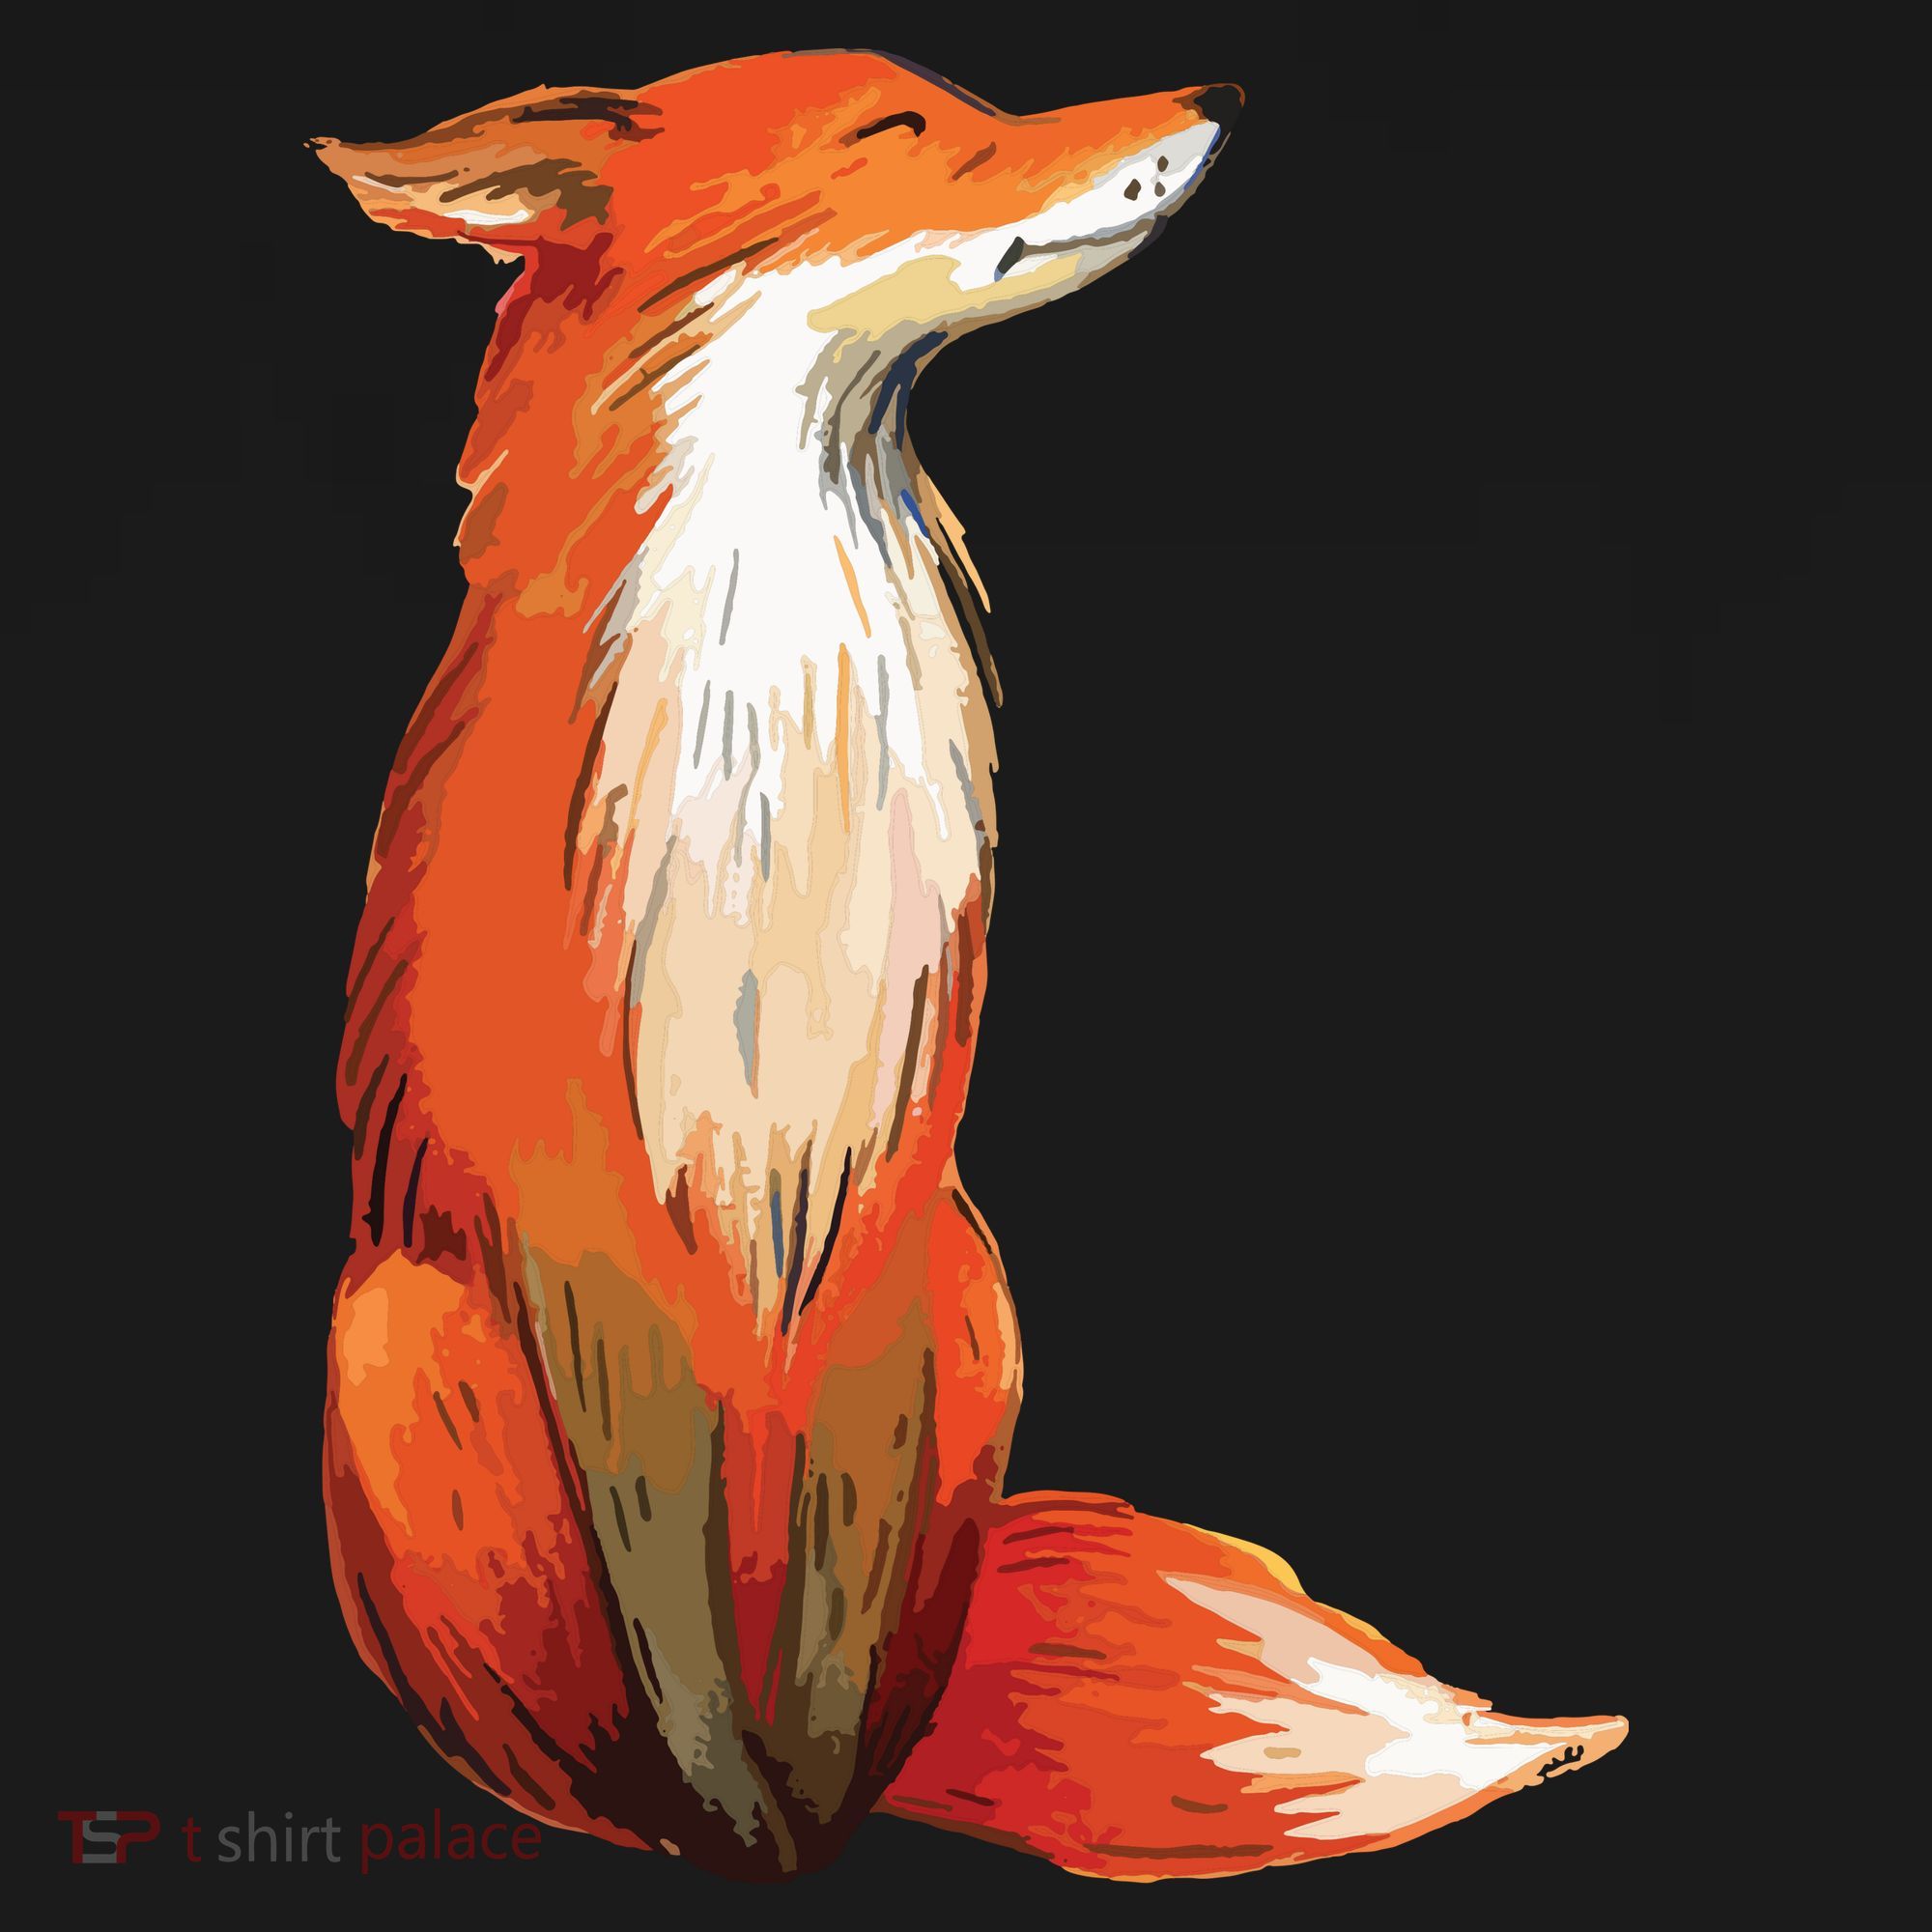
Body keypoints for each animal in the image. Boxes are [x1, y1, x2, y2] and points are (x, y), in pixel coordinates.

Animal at [316, 49, 1626, 1881]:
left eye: (959, 98)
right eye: (900, 132)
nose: (1219, 92)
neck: (780, 731)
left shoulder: (880, 1212)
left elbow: (828, 1642)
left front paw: (813, 1817)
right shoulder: (594, 1254)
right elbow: (683, 1654)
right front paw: (753, 1841)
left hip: (981, 1286)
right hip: (397, 1342)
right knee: (567, 1739)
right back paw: (626, 1817)